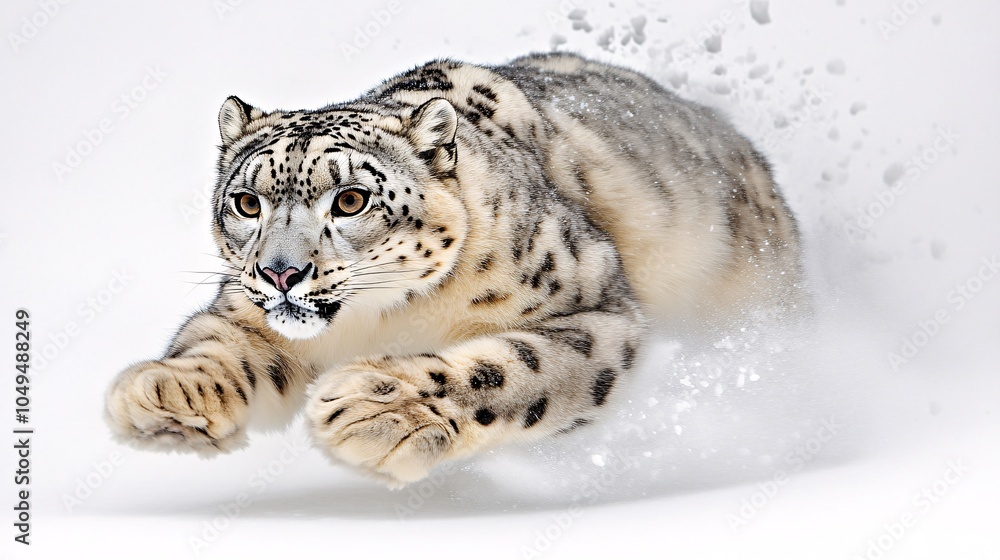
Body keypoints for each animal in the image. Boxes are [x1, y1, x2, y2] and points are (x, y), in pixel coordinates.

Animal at [105, 52, 802, 487]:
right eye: (247, 203)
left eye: (350, 200)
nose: (281, 272)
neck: (378, 321)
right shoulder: (244, 306)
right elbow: (221, 341)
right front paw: (168, 396)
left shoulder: (597, 309)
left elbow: (516, 367)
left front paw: (378, 412)